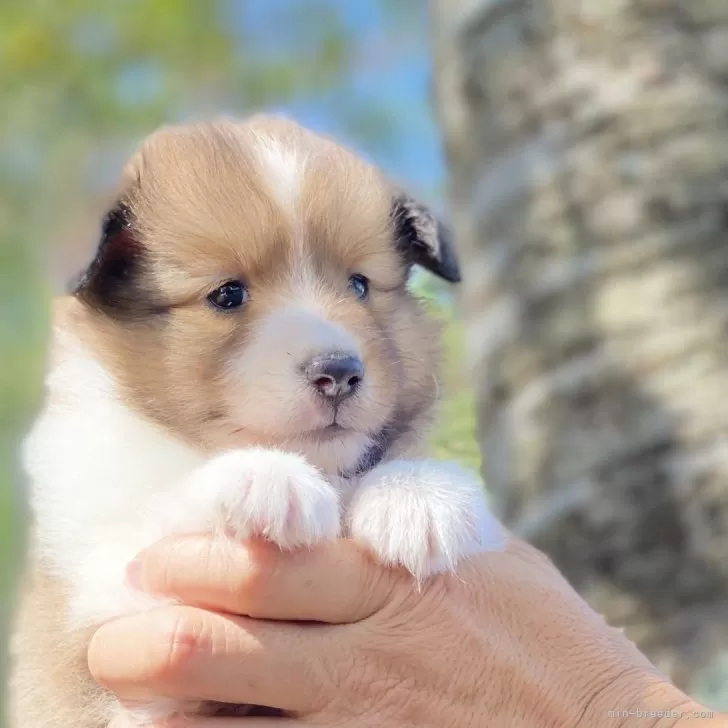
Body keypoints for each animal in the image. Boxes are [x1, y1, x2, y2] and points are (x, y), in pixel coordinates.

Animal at [11, 116, 504, 724]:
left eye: (359, 285)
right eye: (227, 294)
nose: (339, 372)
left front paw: (419, 496)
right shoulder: (92, 609)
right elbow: (152, 522)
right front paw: (265, 478)